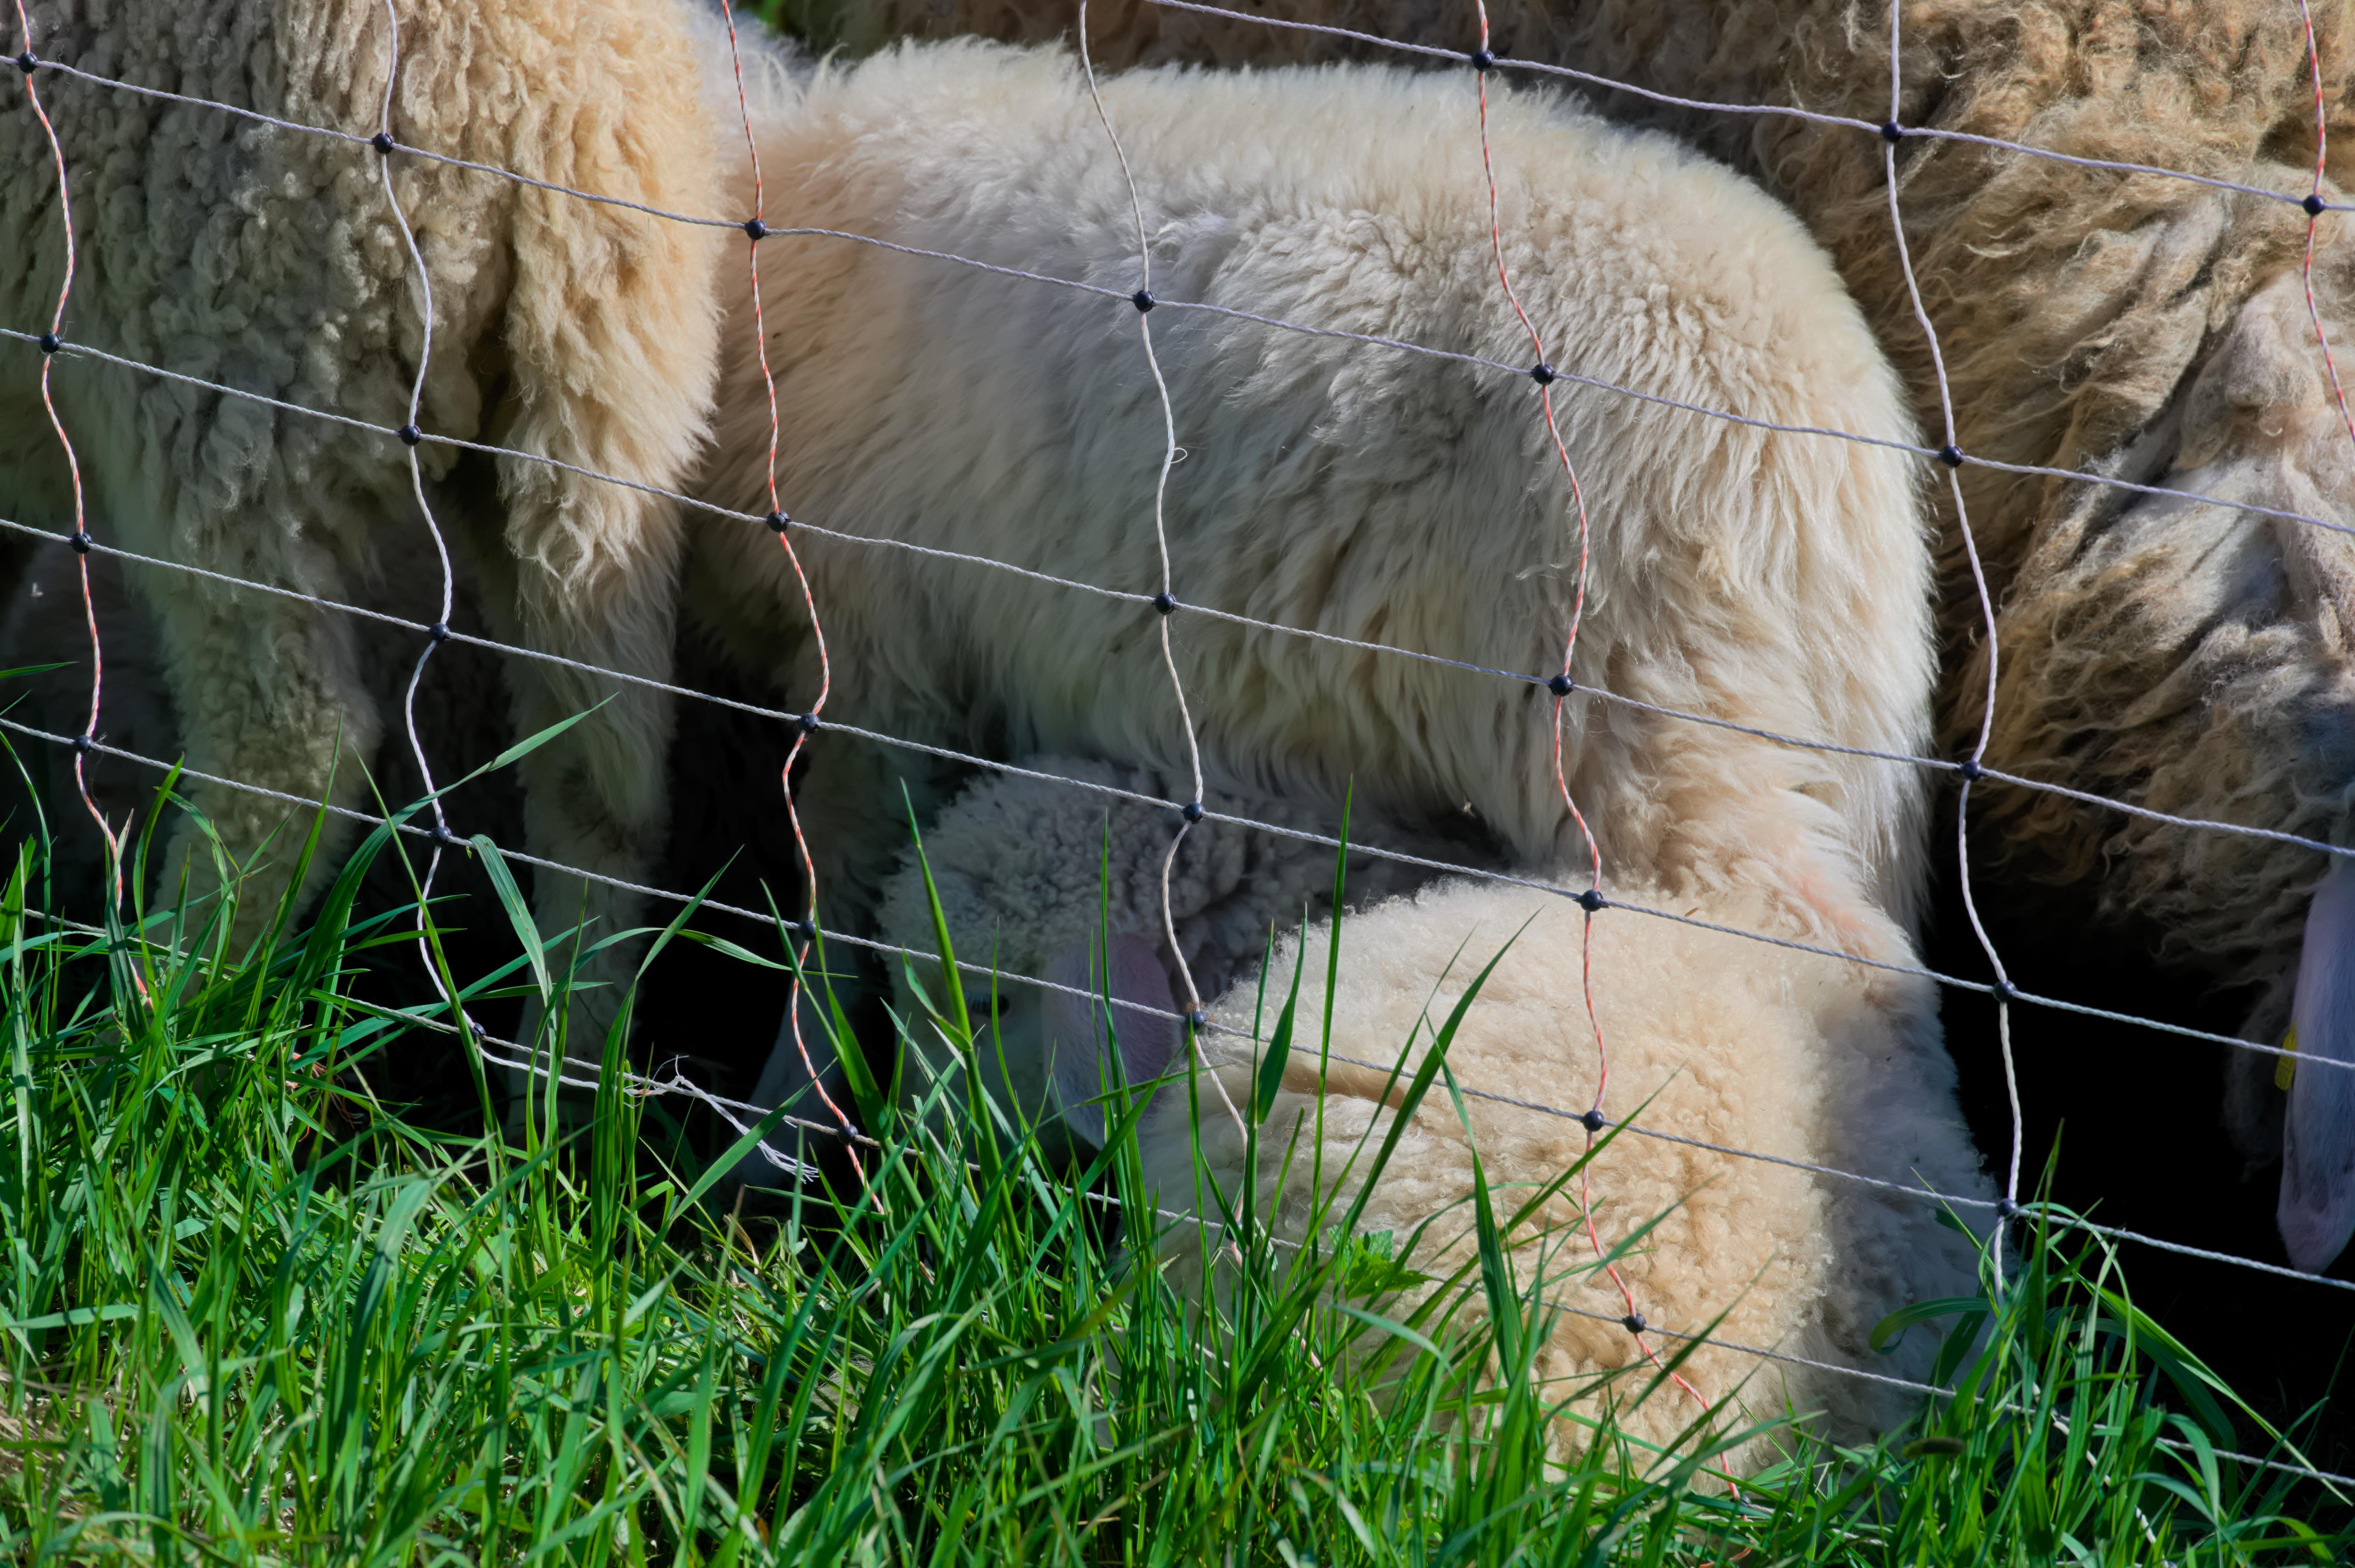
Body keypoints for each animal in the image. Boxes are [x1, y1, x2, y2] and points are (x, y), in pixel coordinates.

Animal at [0, 0, 727, 1069]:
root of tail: (565, 99)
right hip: (591, 450)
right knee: (599, 778)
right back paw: (557, 1081)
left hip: (221, 385)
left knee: (294, 750)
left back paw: (146, 1032)